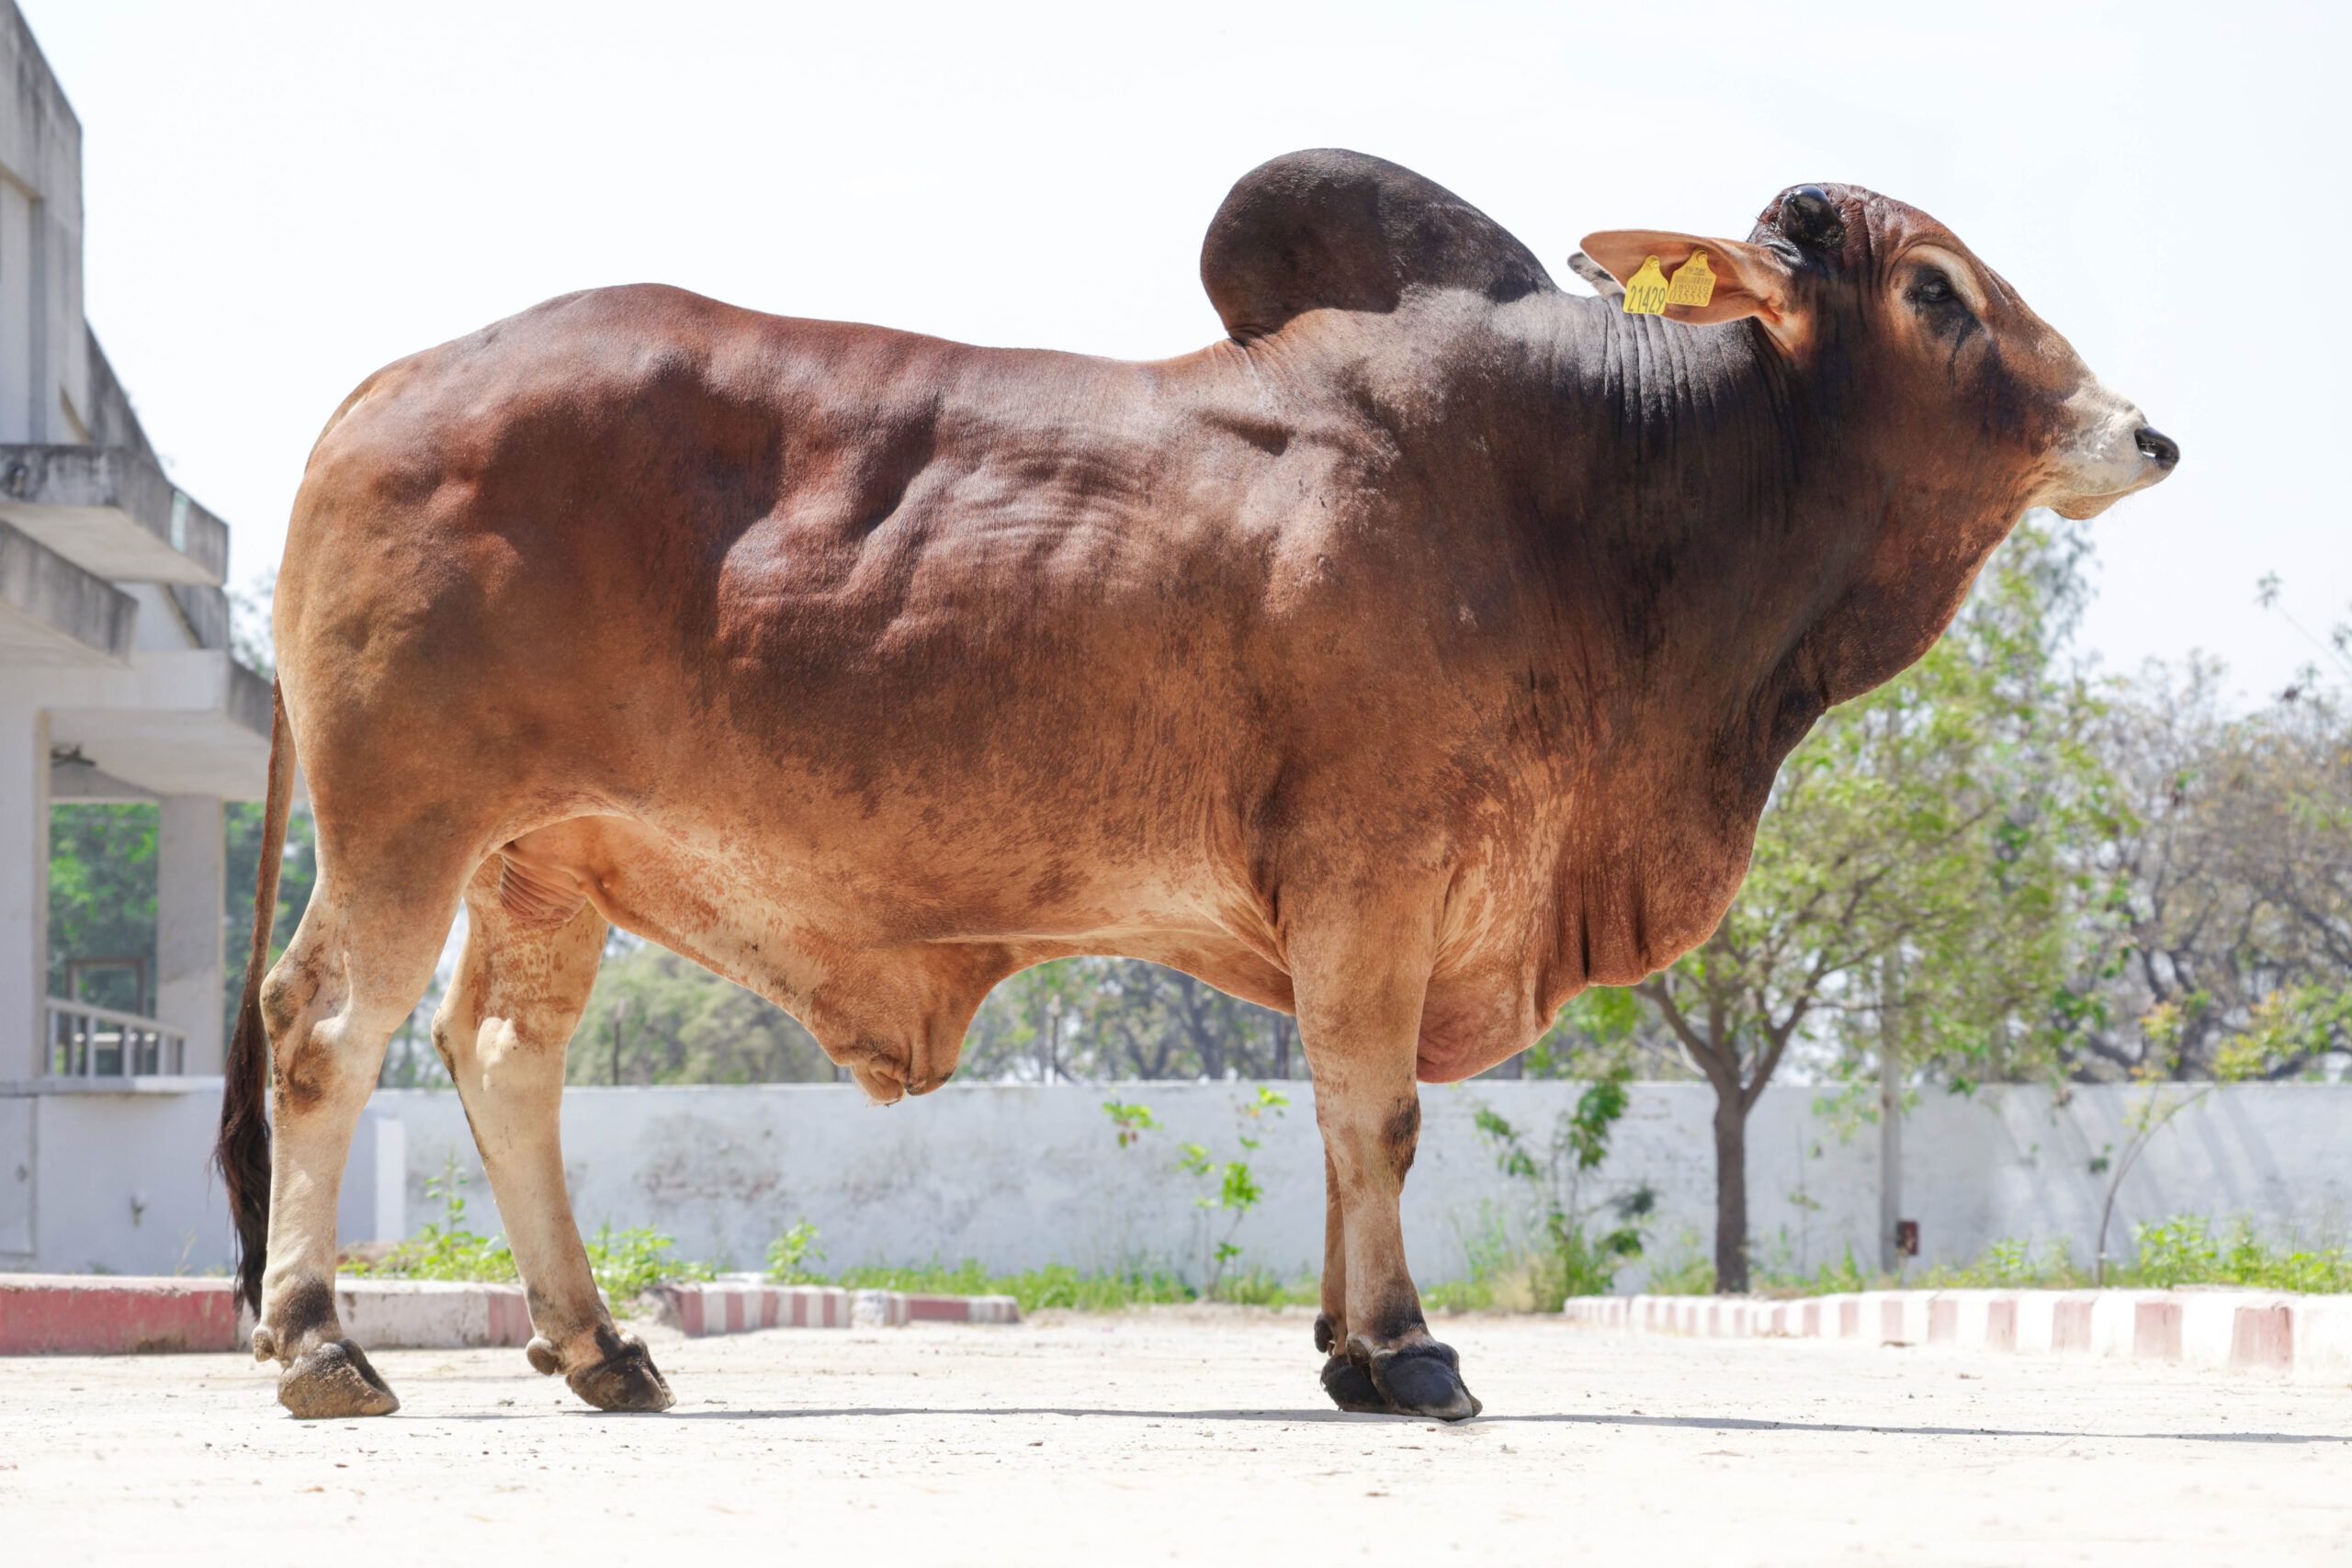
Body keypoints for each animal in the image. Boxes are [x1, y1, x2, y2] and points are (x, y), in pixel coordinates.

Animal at [215, 149, 2175, 1423]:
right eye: (1937, 290)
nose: (2144, 430)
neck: (1606, 492)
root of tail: (395, 379)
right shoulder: (1378, 859)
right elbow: (1378, 1113)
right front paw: (1406, 1349)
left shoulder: (1353, 900)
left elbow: (1337, 1115)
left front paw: (1342, 1343)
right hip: (405, 818)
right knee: (325, 1027)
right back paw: (320, 1342)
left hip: (541, 857)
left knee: (502, 1057)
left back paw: (598, 1343)